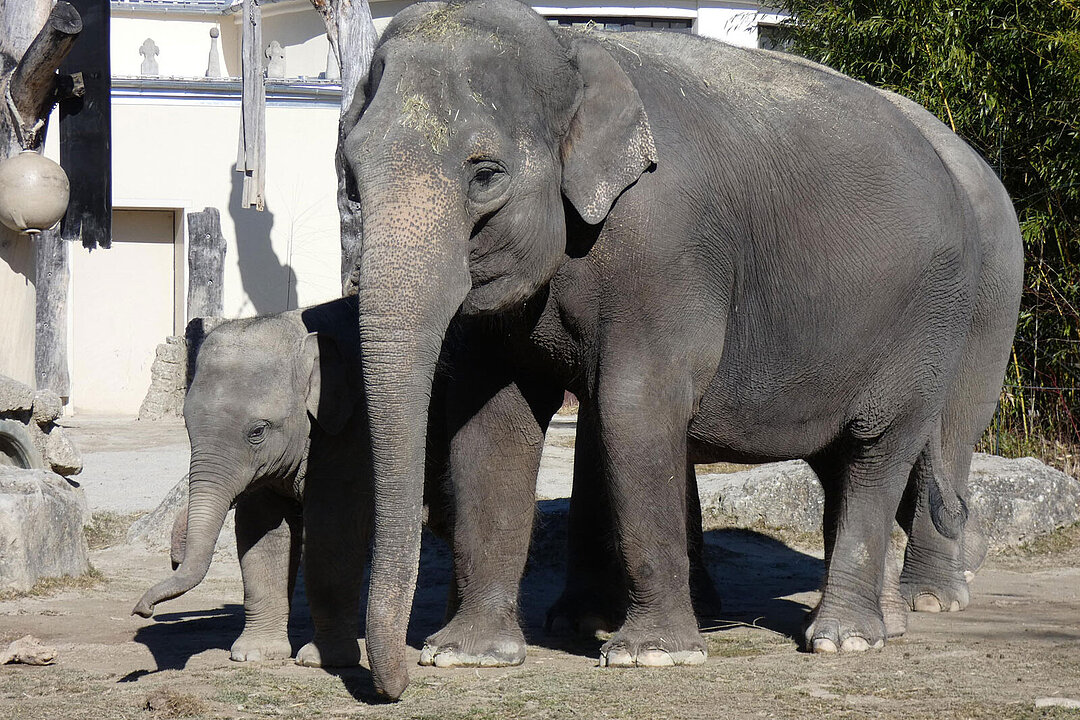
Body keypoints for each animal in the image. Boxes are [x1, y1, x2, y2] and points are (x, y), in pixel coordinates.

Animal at [132, 295, 375, 669]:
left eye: (257, 431)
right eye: (187, 427)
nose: (142, 610)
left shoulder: (351, 431)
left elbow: (333, 529)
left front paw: (321, 660)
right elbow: (261, 531)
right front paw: (253, 654)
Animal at [345, 0, 1019, 699]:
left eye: (485, 175)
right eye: (351, 179)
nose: (392, 687)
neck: (570, 45)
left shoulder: (666, 251)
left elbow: (634, 409)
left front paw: (651, 656)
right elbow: (491, 422)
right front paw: (468, 655)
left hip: (935, 319)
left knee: (883, 446)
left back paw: (853, 636)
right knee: (846, 459)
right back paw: (880, 623)